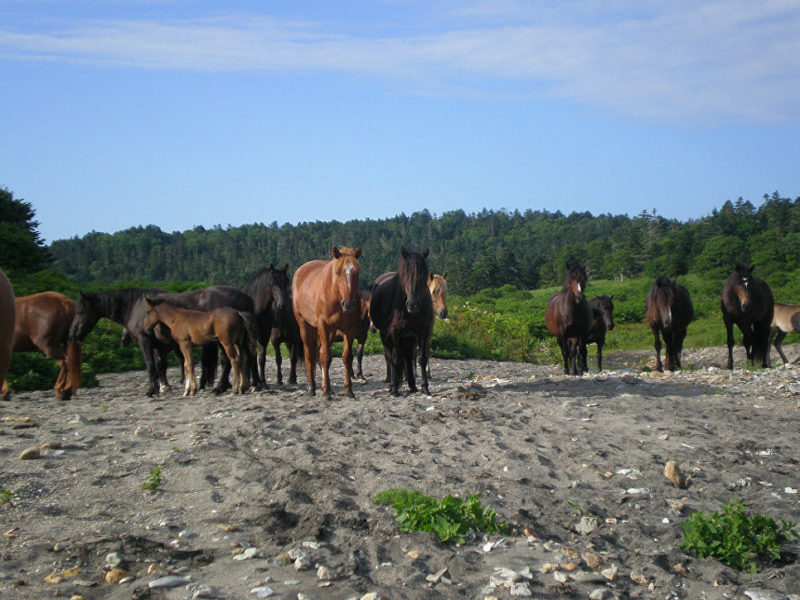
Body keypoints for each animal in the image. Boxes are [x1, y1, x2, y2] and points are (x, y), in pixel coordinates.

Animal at [292, 246, 364, 396]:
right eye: (337, 272)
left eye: (357, 272)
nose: (348, 304)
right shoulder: (323, 327)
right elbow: (325, 356)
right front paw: (325, 392)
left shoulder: (349, 330)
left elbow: (347, 357)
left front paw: (348, 390)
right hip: (305, 325)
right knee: (310, 353)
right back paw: (311, 387)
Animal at [370, 246, 434, 396]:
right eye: (405, 274)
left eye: (423, 275)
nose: (412, 305)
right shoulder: (395, 333)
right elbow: (396, 359)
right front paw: (394, 389)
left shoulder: (423, 332)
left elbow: (421, 359)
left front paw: (424, 387)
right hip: (386, 335)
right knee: (391, 357)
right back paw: (393, 384)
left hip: (409, 337)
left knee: (408, 357)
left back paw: (412, 385)